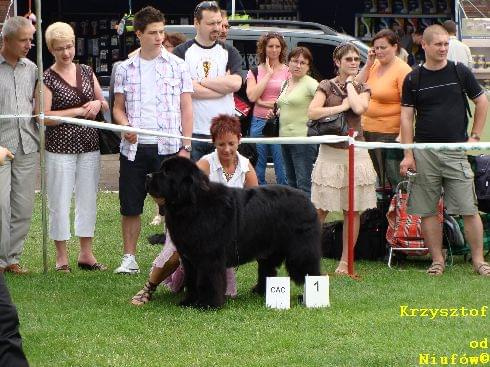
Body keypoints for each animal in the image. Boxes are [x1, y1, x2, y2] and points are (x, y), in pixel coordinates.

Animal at [145, 157, 322, 310]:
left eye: (167, 172)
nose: (147, 176)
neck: (191, 205)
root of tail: (307, 200)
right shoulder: (189, 258)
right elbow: (192, 280)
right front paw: (188, 301)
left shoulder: (209, 258)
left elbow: (208, 280)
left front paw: (208, 304)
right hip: (269, 250)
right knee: (267, 269)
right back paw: (259, 291)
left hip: (300, 251)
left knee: (309, 270)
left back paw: (309, 297)